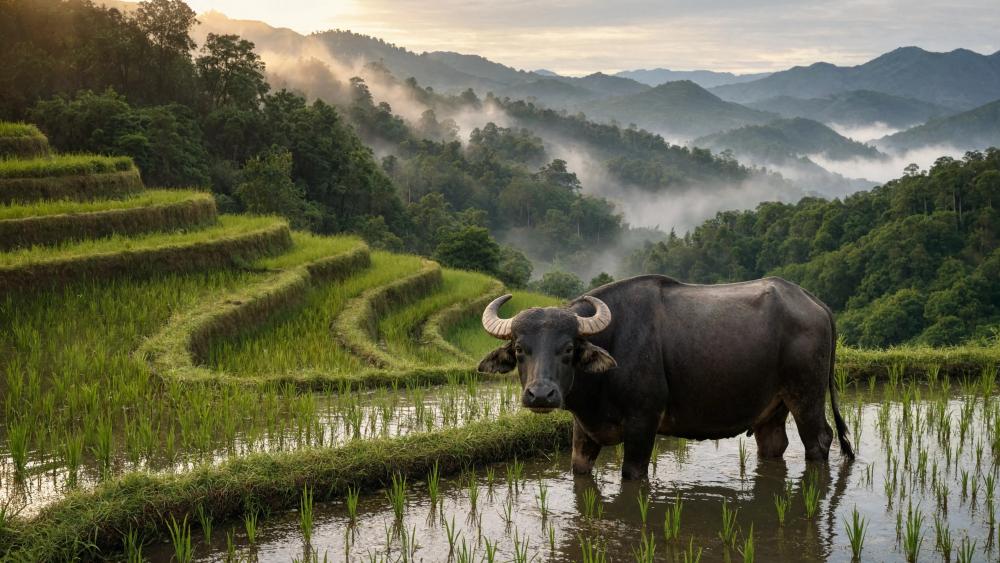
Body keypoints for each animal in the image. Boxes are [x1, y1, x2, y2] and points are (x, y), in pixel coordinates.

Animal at [478, 274, 855, 480]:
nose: (541, 395)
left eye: (568, 348)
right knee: (774, 444)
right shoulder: (583, 430)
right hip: (772, 409)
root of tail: (816, 304)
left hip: (806, 397)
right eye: (521, 349)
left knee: (820, 440)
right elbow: (579, 468)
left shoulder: (643, 423)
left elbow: (632, 473)